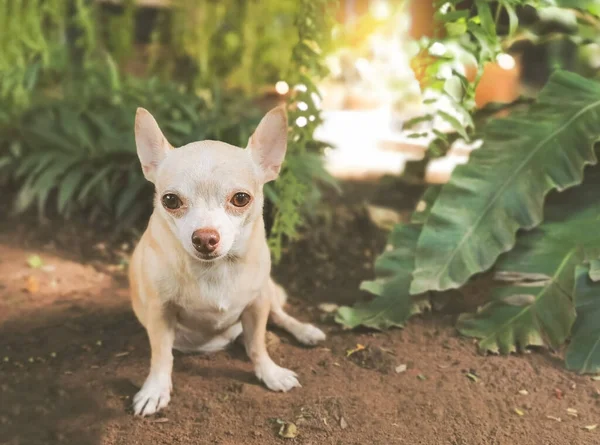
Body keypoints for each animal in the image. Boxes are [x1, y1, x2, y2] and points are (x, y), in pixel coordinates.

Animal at [129, 106, 326, 414]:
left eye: (241, 198)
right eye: (170, 200)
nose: (205, 238)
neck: (215, 270)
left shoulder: (257, 304)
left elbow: (257, 345)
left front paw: (270, 373)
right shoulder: (160, 312)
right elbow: (161, 355)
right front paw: (155, 390)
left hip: (268, 292)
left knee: (279, 315)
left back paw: (305, 331)